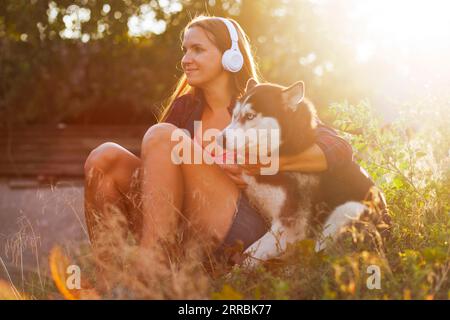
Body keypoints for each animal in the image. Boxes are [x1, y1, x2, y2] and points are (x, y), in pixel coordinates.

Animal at [219, 79, 386, 264]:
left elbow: (249, 255)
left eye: (250, 116)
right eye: (234, 115)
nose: (221, 139)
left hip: (348, 212)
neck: (283, 148)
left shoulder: (290, 225)